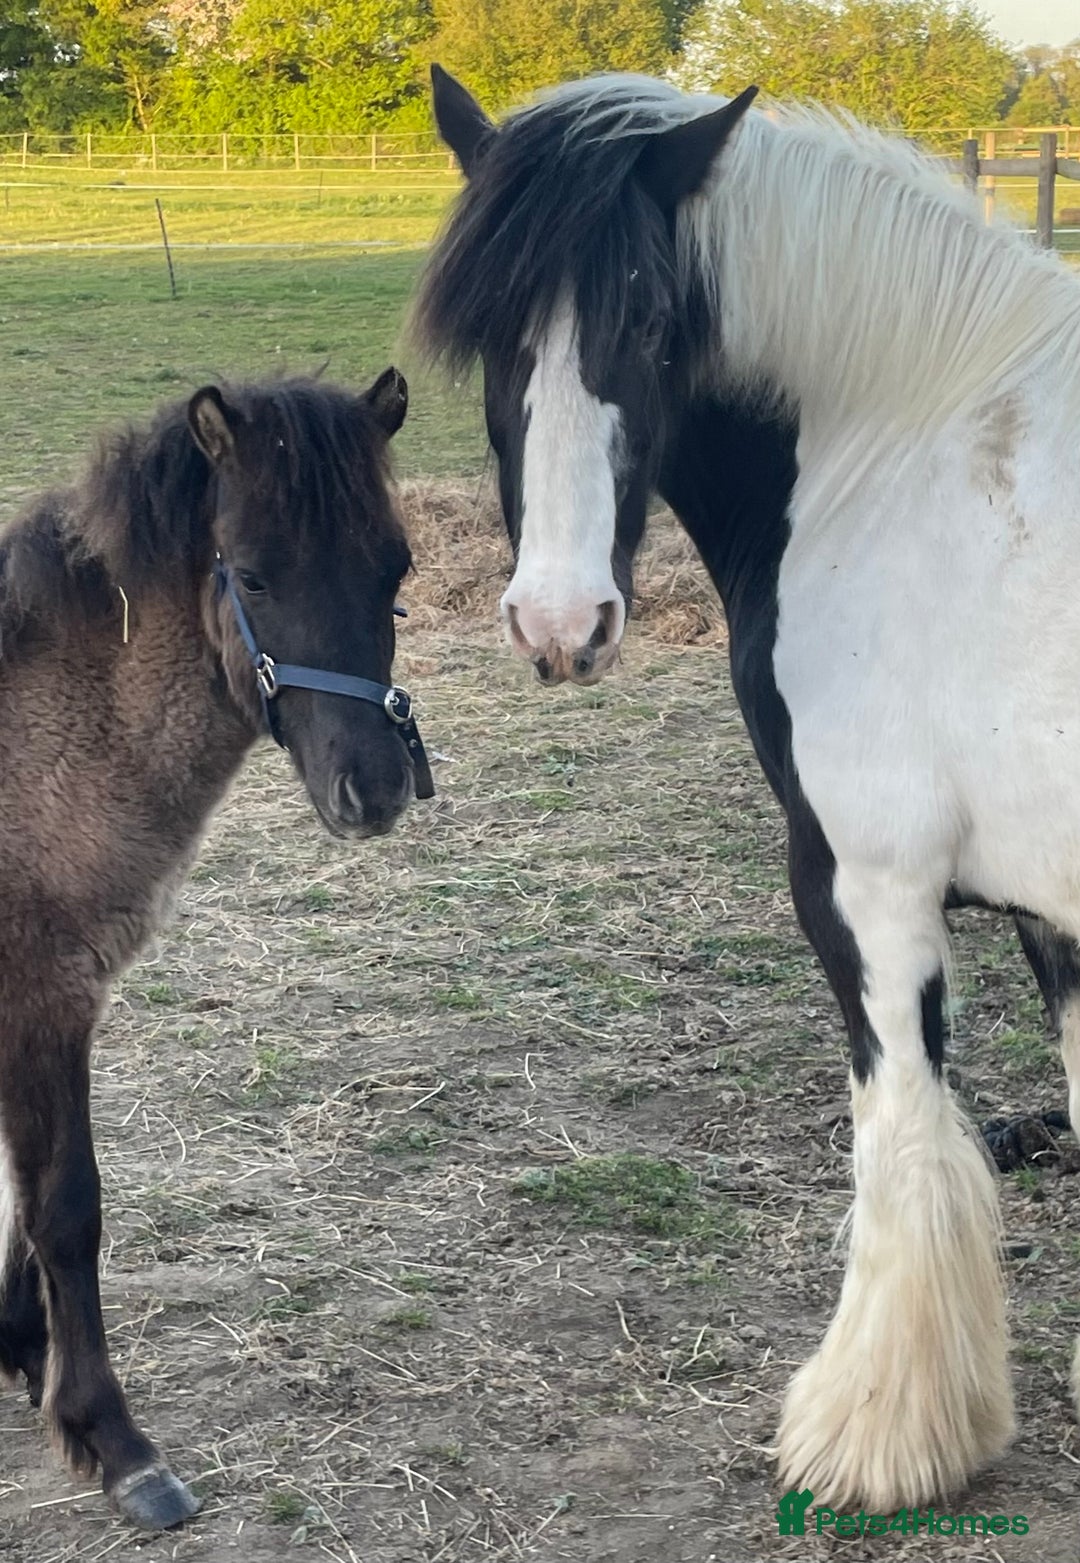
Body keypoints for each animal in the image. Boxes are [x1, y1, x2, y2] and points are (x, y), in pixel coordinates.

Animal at [0, 368, 433, 1529]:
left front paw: (21, 1352)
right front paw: (111, 1439)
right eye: (252, 572)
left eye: (396, 566)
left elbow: (20, 1195)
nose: (374, 788)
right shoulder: (43, 998)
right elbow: (64, 1206)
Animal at [416, 66, 1080, 1512]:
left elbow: (901, 1140)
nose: (559, 622)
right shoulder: (1050, 907)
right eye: (490, 332)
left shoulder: (867, 886)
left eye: (653, 318)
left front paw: (876, 1433)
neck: (915, 459)